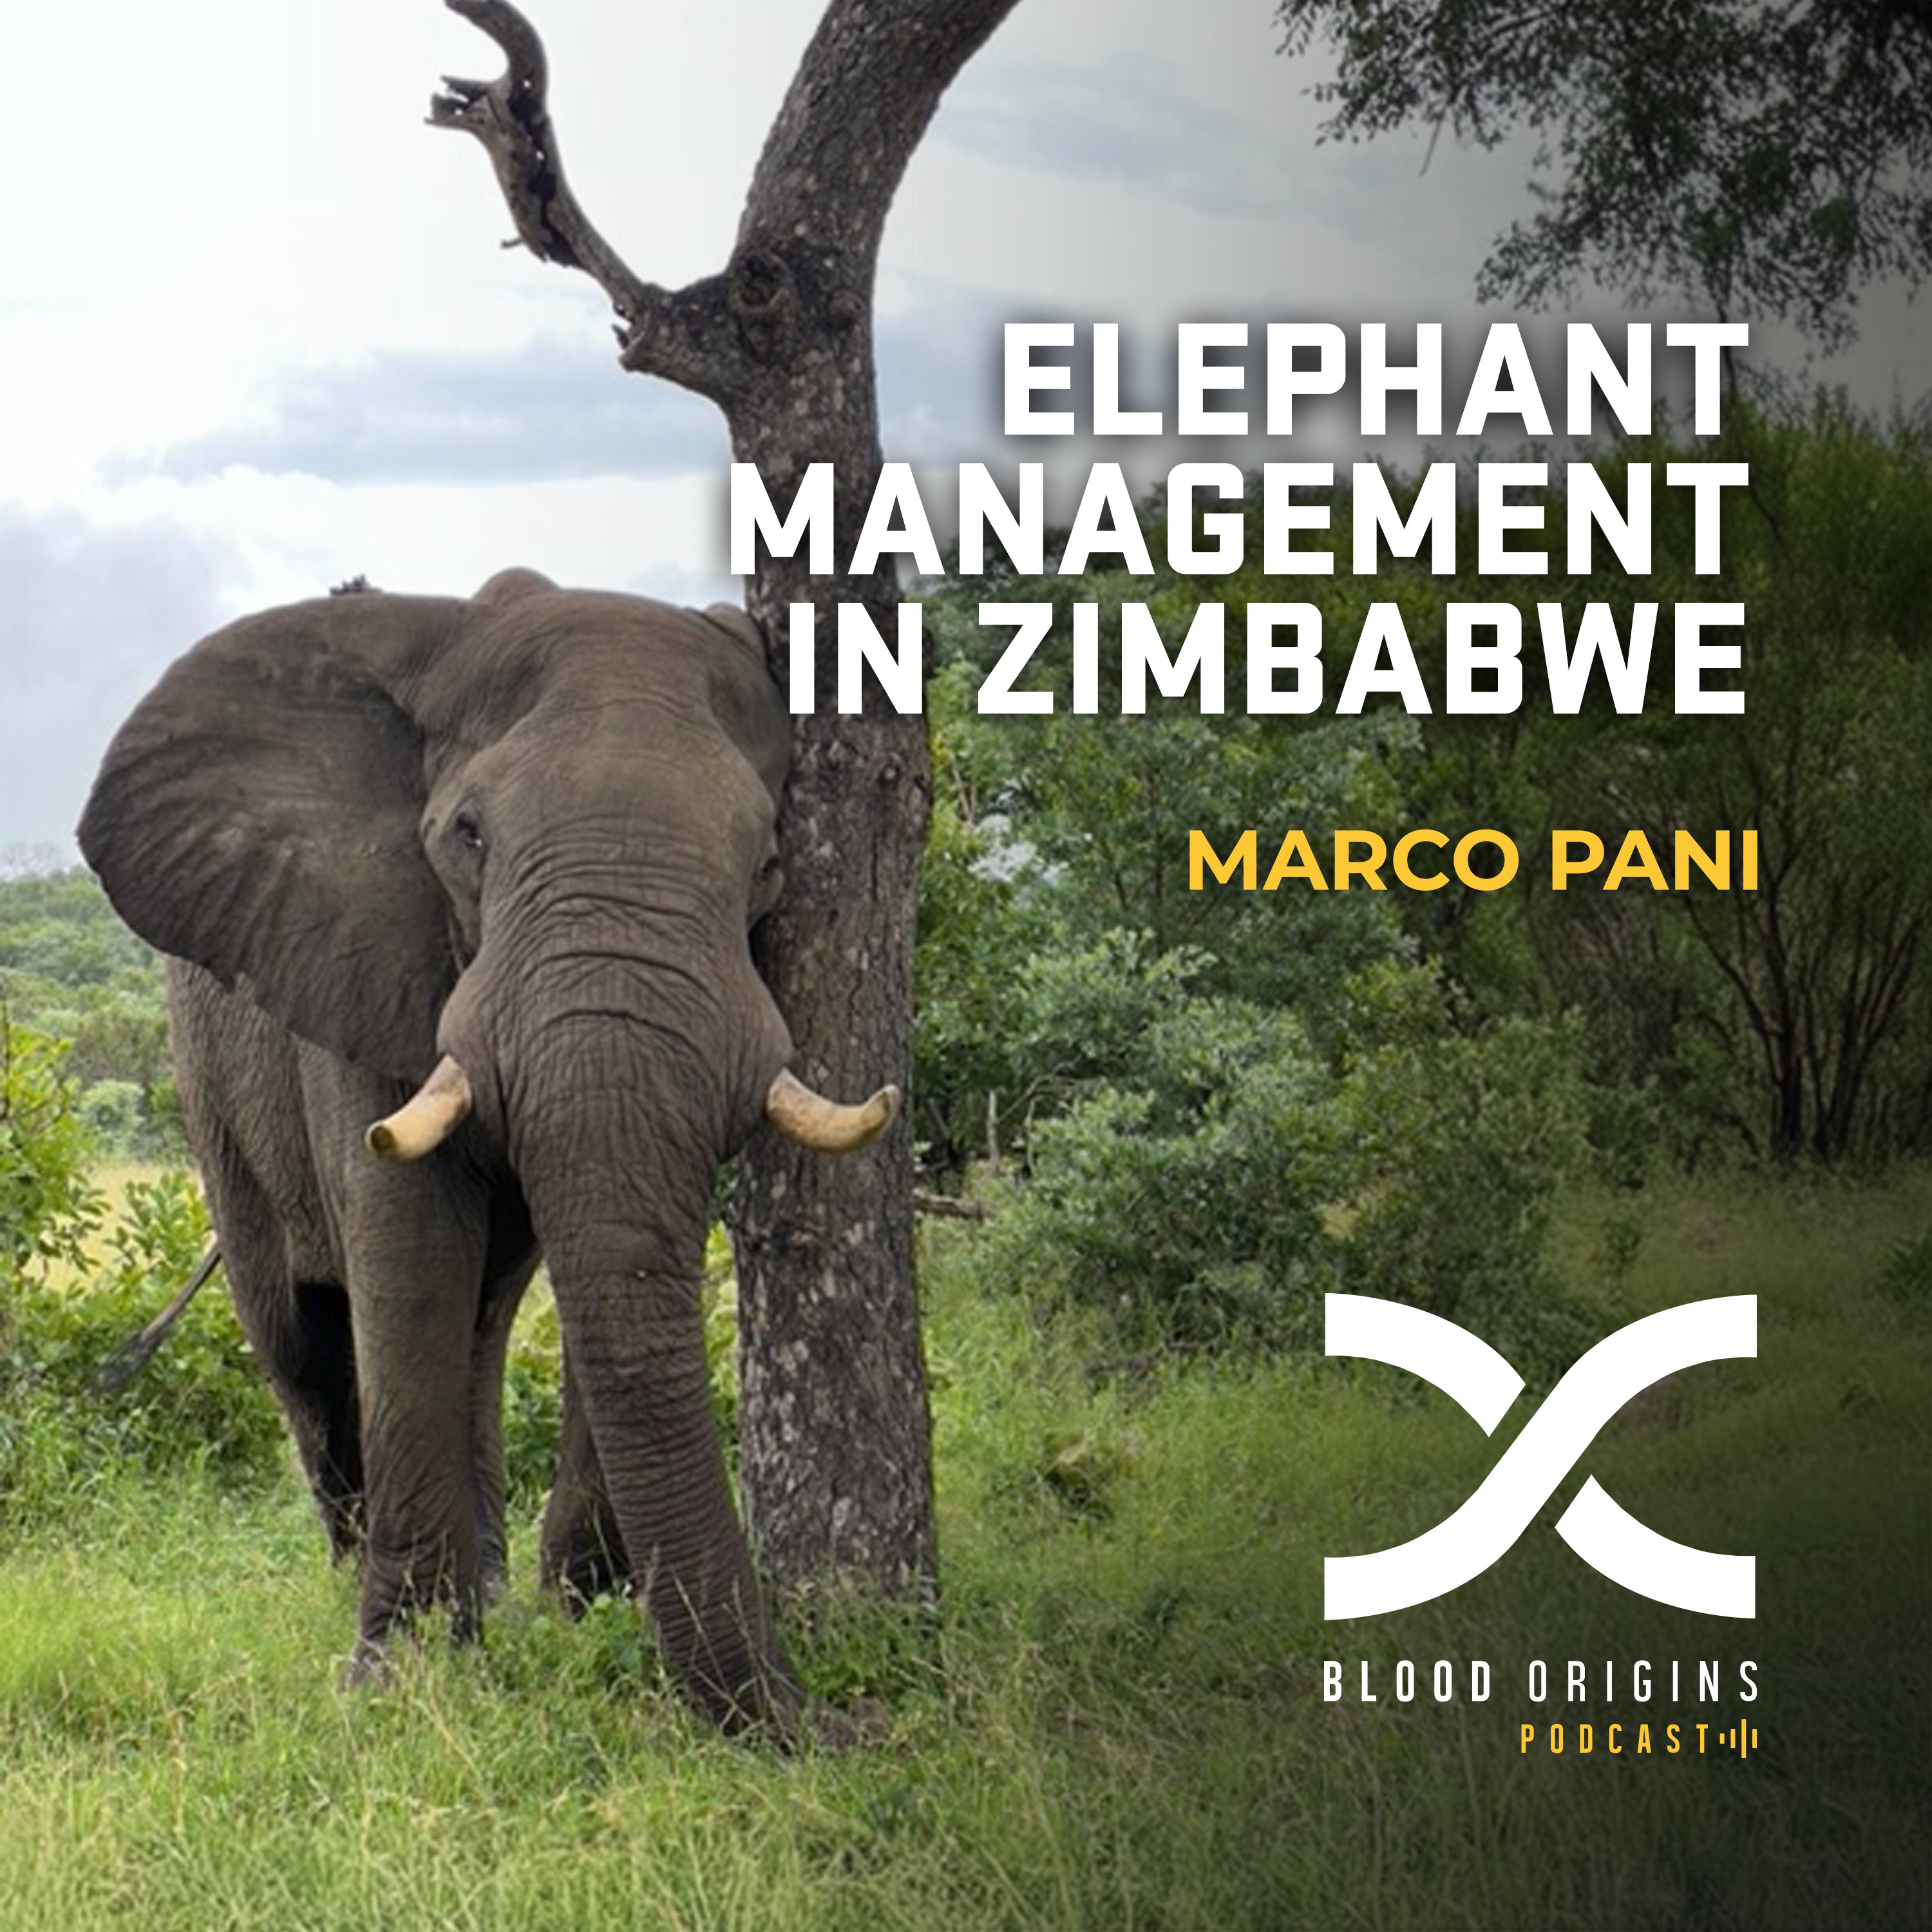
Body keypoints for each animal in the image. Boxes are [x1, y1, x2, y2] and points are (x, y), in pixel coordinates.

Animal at [77, 567, 898, 1731]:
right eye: (468, 836)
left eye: (771, 865)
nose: (826, 1724)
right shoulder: (369, 953)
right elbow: (410, 1249)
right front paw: (400, 1679)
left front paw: (578, 1613)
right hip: (210, 1085)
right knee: (299, 1341)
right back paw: (352, 1572)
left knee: (483, 1323)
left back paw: (498, 1588)